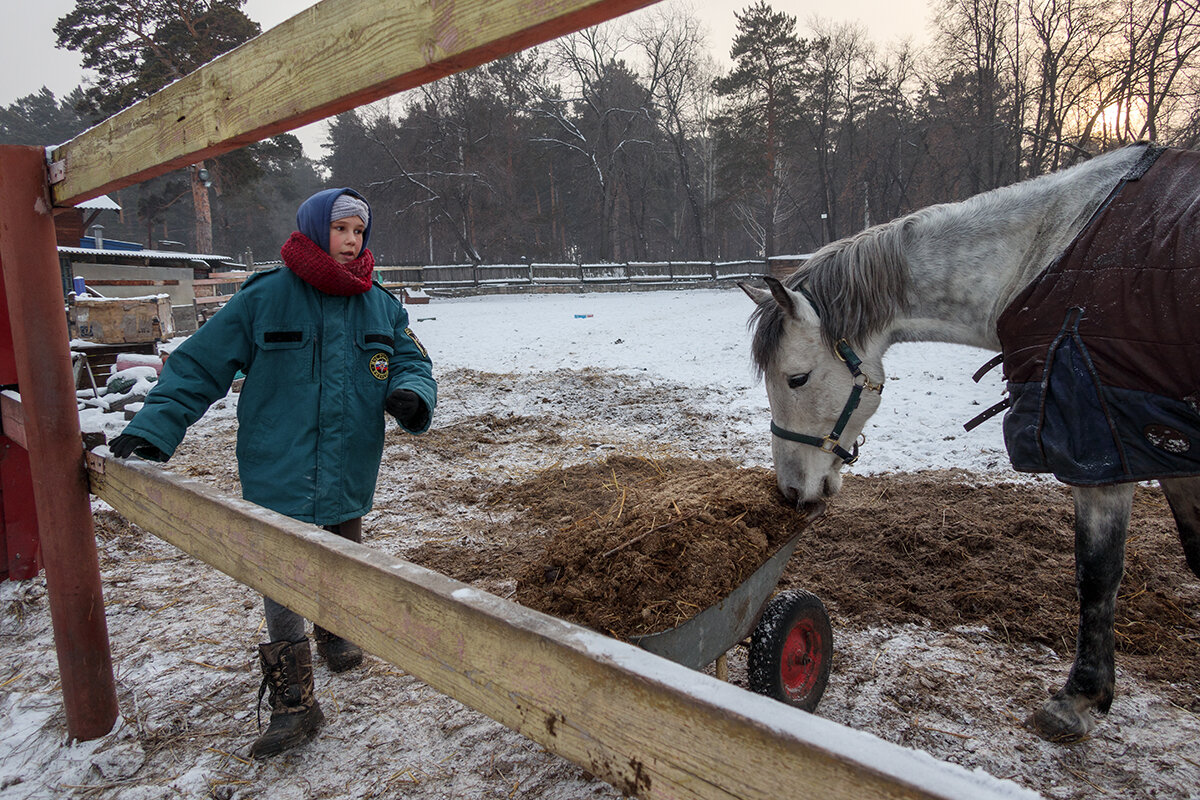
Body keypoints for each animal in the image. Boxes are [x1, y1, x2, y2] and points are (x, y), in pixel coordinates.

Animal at [744, 140, 1195, 743]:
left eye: (795, 378)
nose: (791, 492)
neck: (1041, 255)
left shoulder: (1101, 451)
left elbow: (1097, 573)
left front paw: (1076, 698)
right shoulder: (1167, 448)